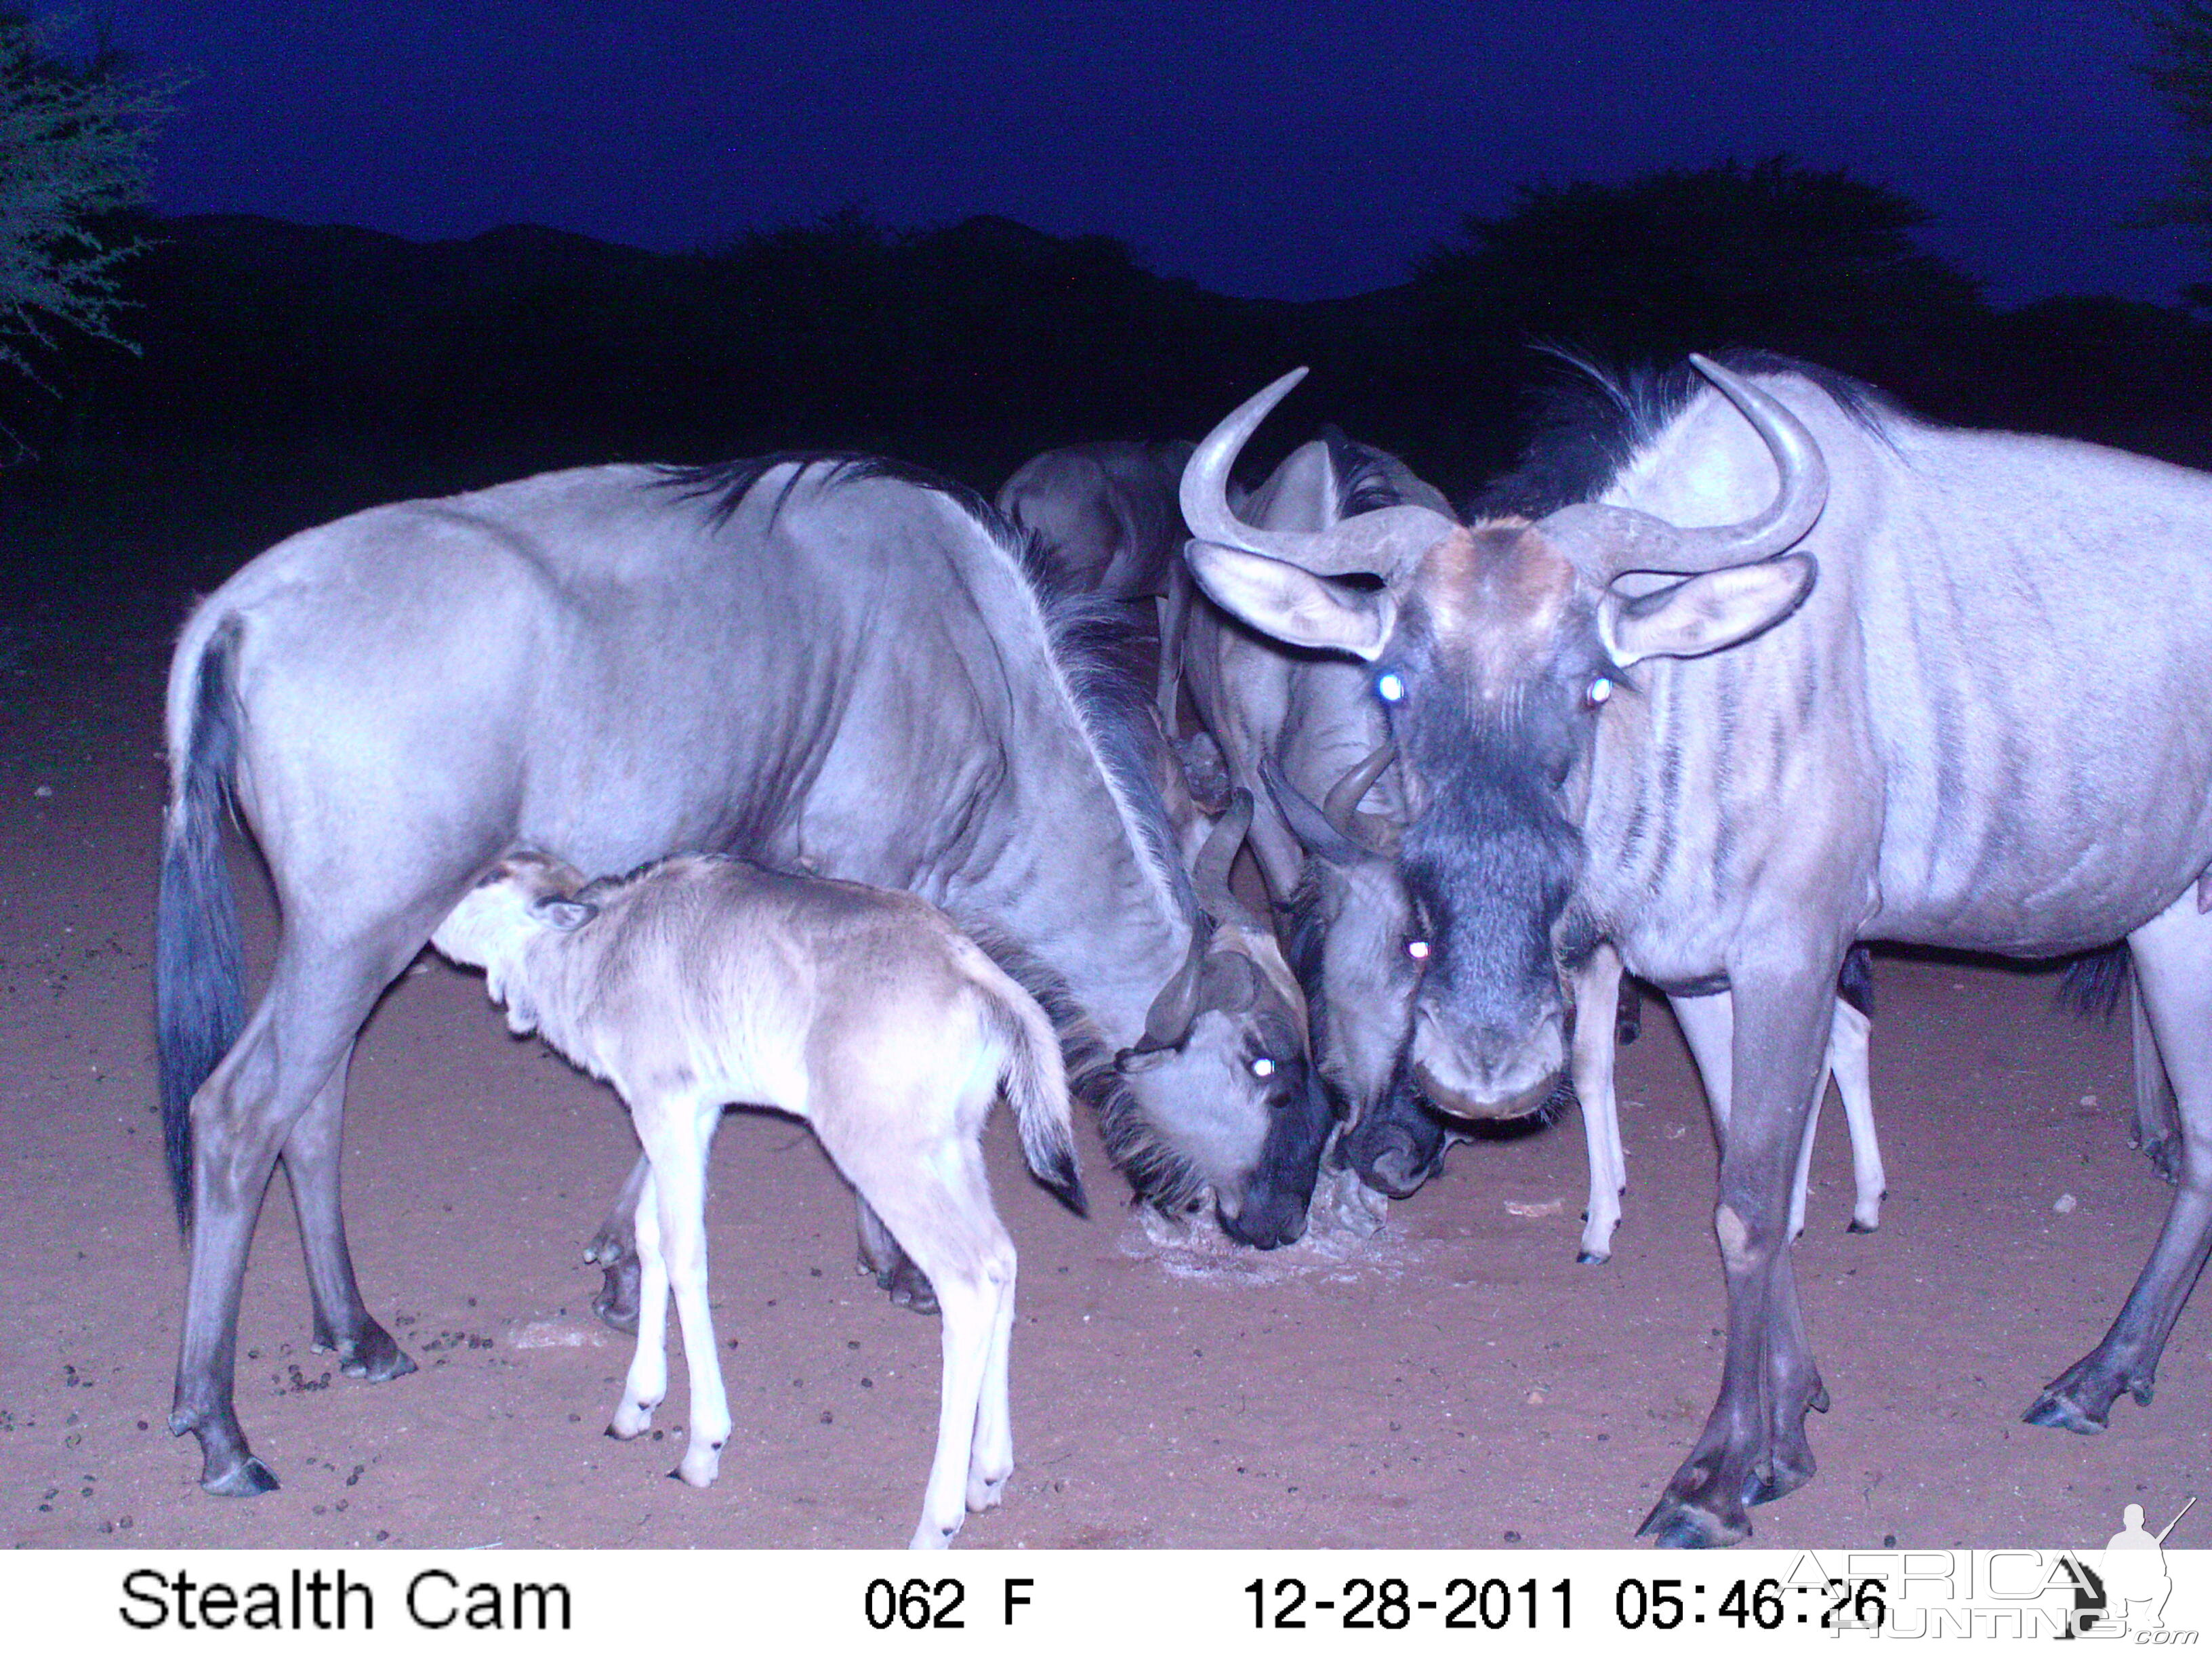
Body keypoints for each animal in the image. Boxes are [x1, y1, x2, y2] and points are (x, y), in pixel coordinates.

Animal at [426, 849, 1084, 1557]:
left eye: (487, 877)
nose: (421, 919)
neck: (601, 946)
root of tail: (980, 977)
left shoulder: (660, 1103)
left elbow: (684, 1252)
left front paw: (702, 1448)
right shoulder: (695, 1110)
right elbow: (650, 1235)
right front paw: (637, 1405)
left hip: (884, 1154)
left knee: (966, 1283)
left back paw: (936, 1523)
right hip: (952, 1148)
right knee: (1001, 1258)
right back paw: (988, 1476)